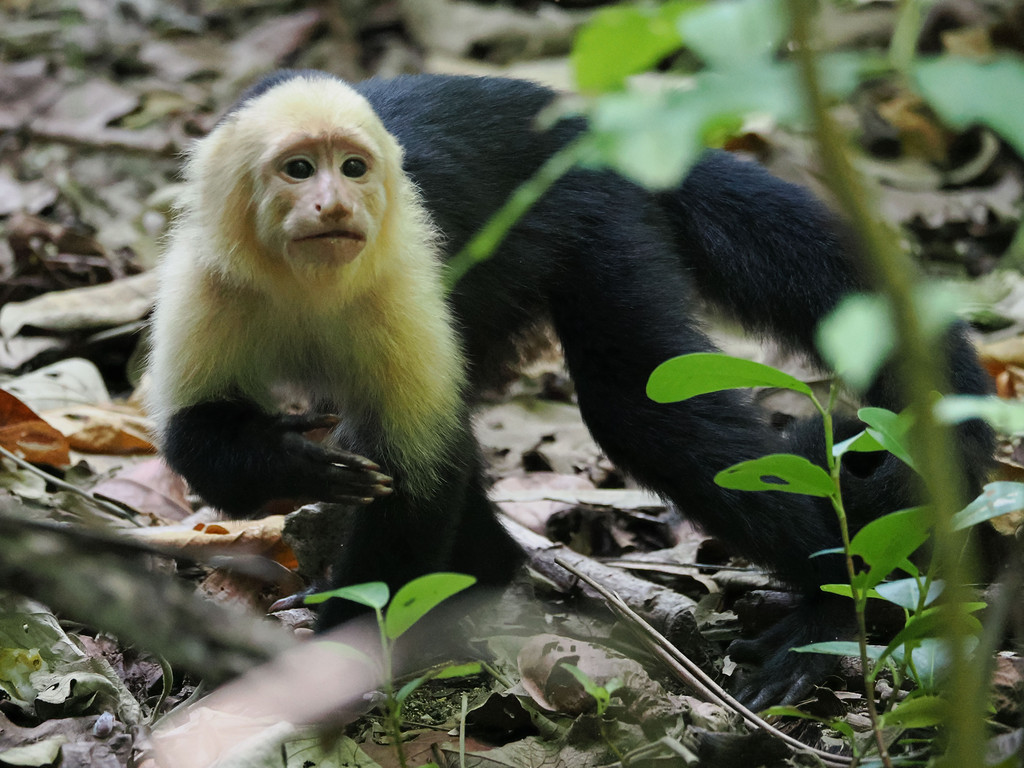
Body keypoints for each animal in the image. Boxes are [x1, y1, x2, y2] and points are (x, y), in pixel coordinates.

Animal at [146, 70, 991, 708]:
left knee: (639, 410)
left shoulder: (399, 277)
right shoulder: (209, 279)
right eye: (299, 170)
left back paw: (833, 605)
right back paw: (484, 570)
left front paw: (344, 660)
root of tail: (581, 123)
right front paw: (296, 464)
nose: (335, 204)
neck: (311, 285)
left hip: (591, 212)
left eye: (352, 169)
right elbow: (194, 440)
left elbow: (418, 475)